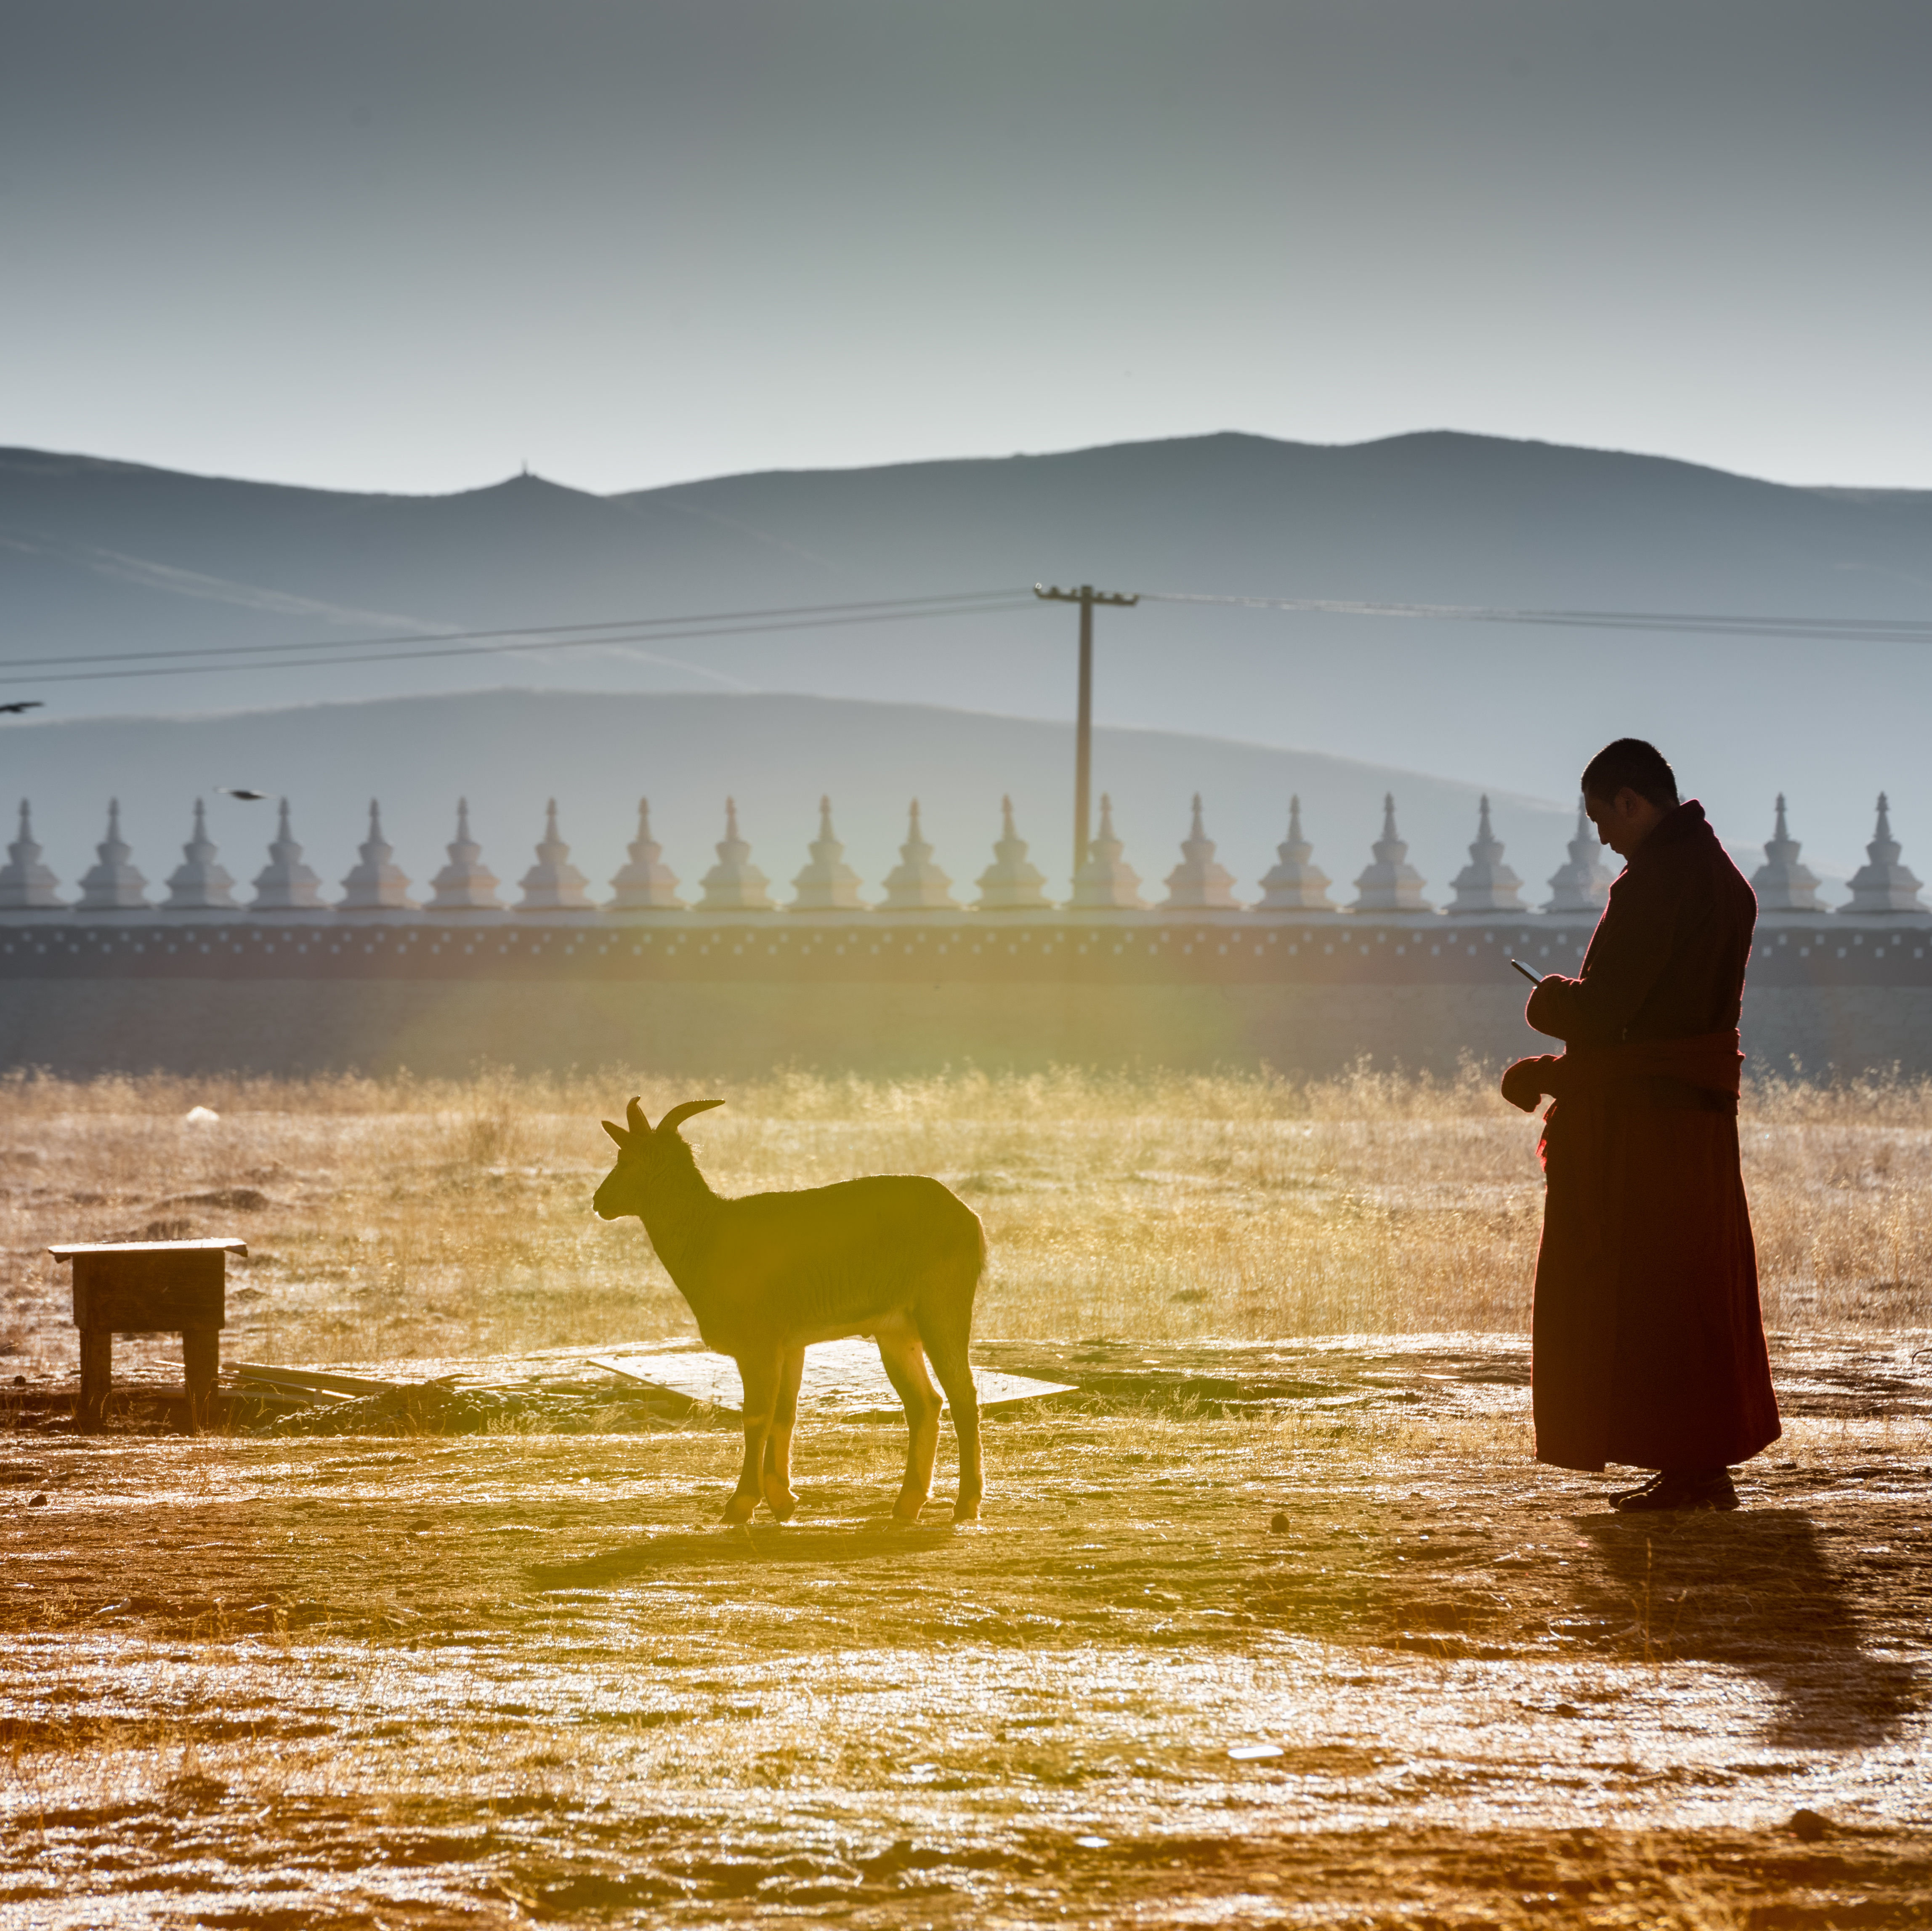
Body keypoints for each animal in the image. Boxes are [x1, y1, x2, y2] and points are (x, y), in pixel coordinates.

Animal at [583, 1105, 981, 1523]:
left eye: (624, 1160)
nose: (599, 1200)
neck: (707, 1233)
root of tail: (968, 1217)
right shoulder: (790, 1345)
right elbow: (783, 1415)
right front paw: (782, 1500)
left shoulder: (758, 1345)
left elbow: (757, 1417)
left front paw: (741, 1504)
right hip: (896, 1332)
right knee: (925, 1404)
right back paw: (908, 1503)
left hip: (942, 1310)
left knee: (963, 1396)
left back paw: (966, 1504)